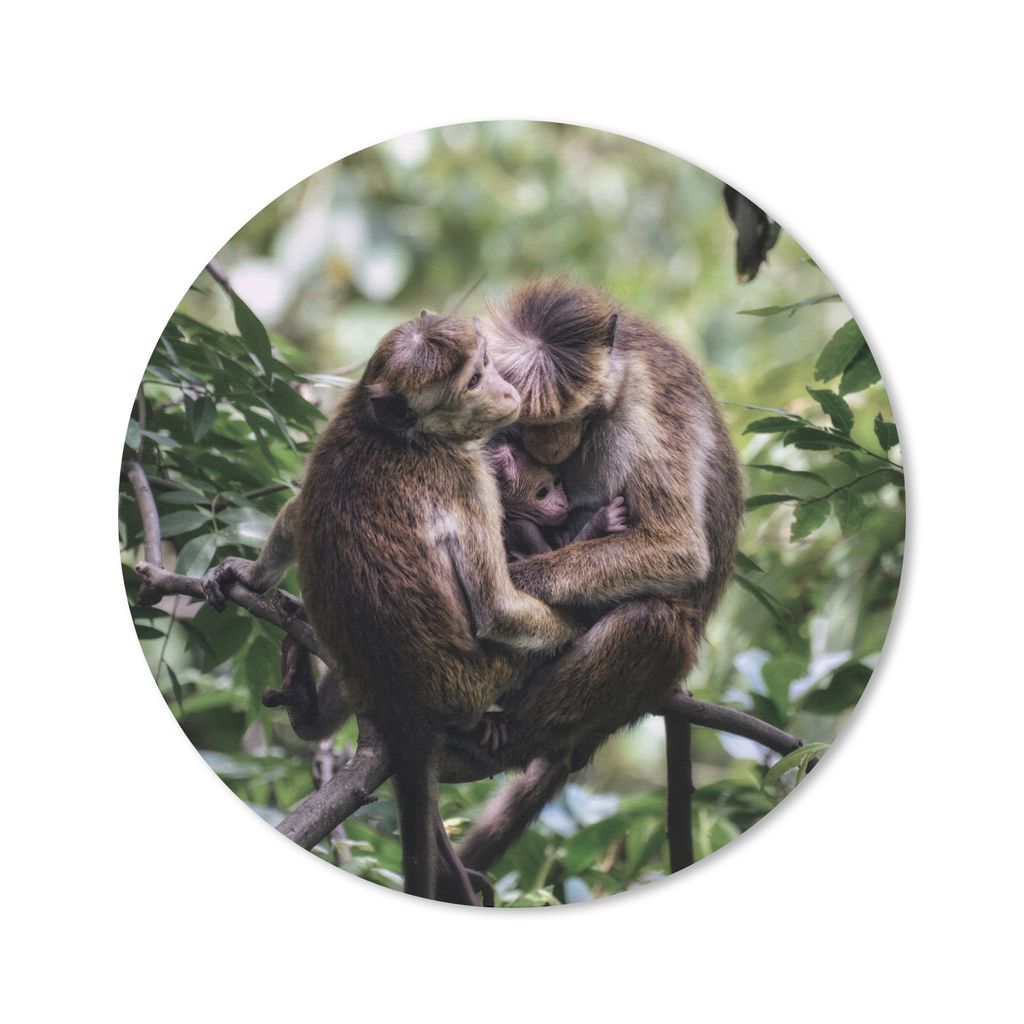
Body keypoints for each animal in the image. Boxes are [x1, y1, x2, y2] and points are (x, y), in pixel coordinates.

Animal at [205, 311, 583, 903]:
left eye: (487, 365)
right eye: (474, 380)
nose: (505, 390)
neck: (398, 433)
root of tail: (405, 704)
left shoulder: (340, 422)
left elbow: (299, 509)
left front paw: (249, 573)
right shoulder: (465, 476)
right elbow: (495, 608)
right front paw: (581, 620)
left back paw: (305, 701)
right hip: (479, 678)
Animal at [484, 435, 629, 560]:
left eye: (557, 481)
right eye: (542, 493)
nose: (561, 503)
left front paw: (560, 537)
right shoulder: (524, 530)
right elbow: (548, 554)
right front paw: (602, 521)